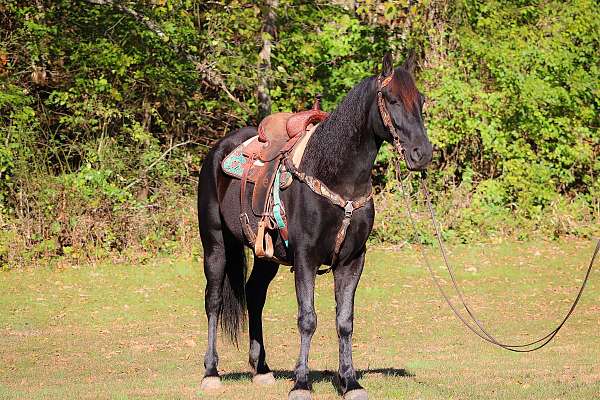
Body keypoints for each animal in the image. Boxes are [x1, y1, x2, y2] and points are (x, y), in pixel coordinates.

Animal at [197, 54, 432, 400]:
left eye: (421, 101)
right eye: (391, 99)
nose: (422, 153)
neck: (335, 176)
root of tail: (218, 151)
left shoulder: (351, 261)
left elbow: (345, 321)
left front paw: (350, 382)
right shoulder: (305, 258)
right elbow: (307, 319)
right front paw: (301, 383)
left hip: (267, 255)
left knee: (254, 294)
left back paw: (262, 369)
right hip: (215, 244)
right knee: (213, 300)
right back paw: (211, 373)